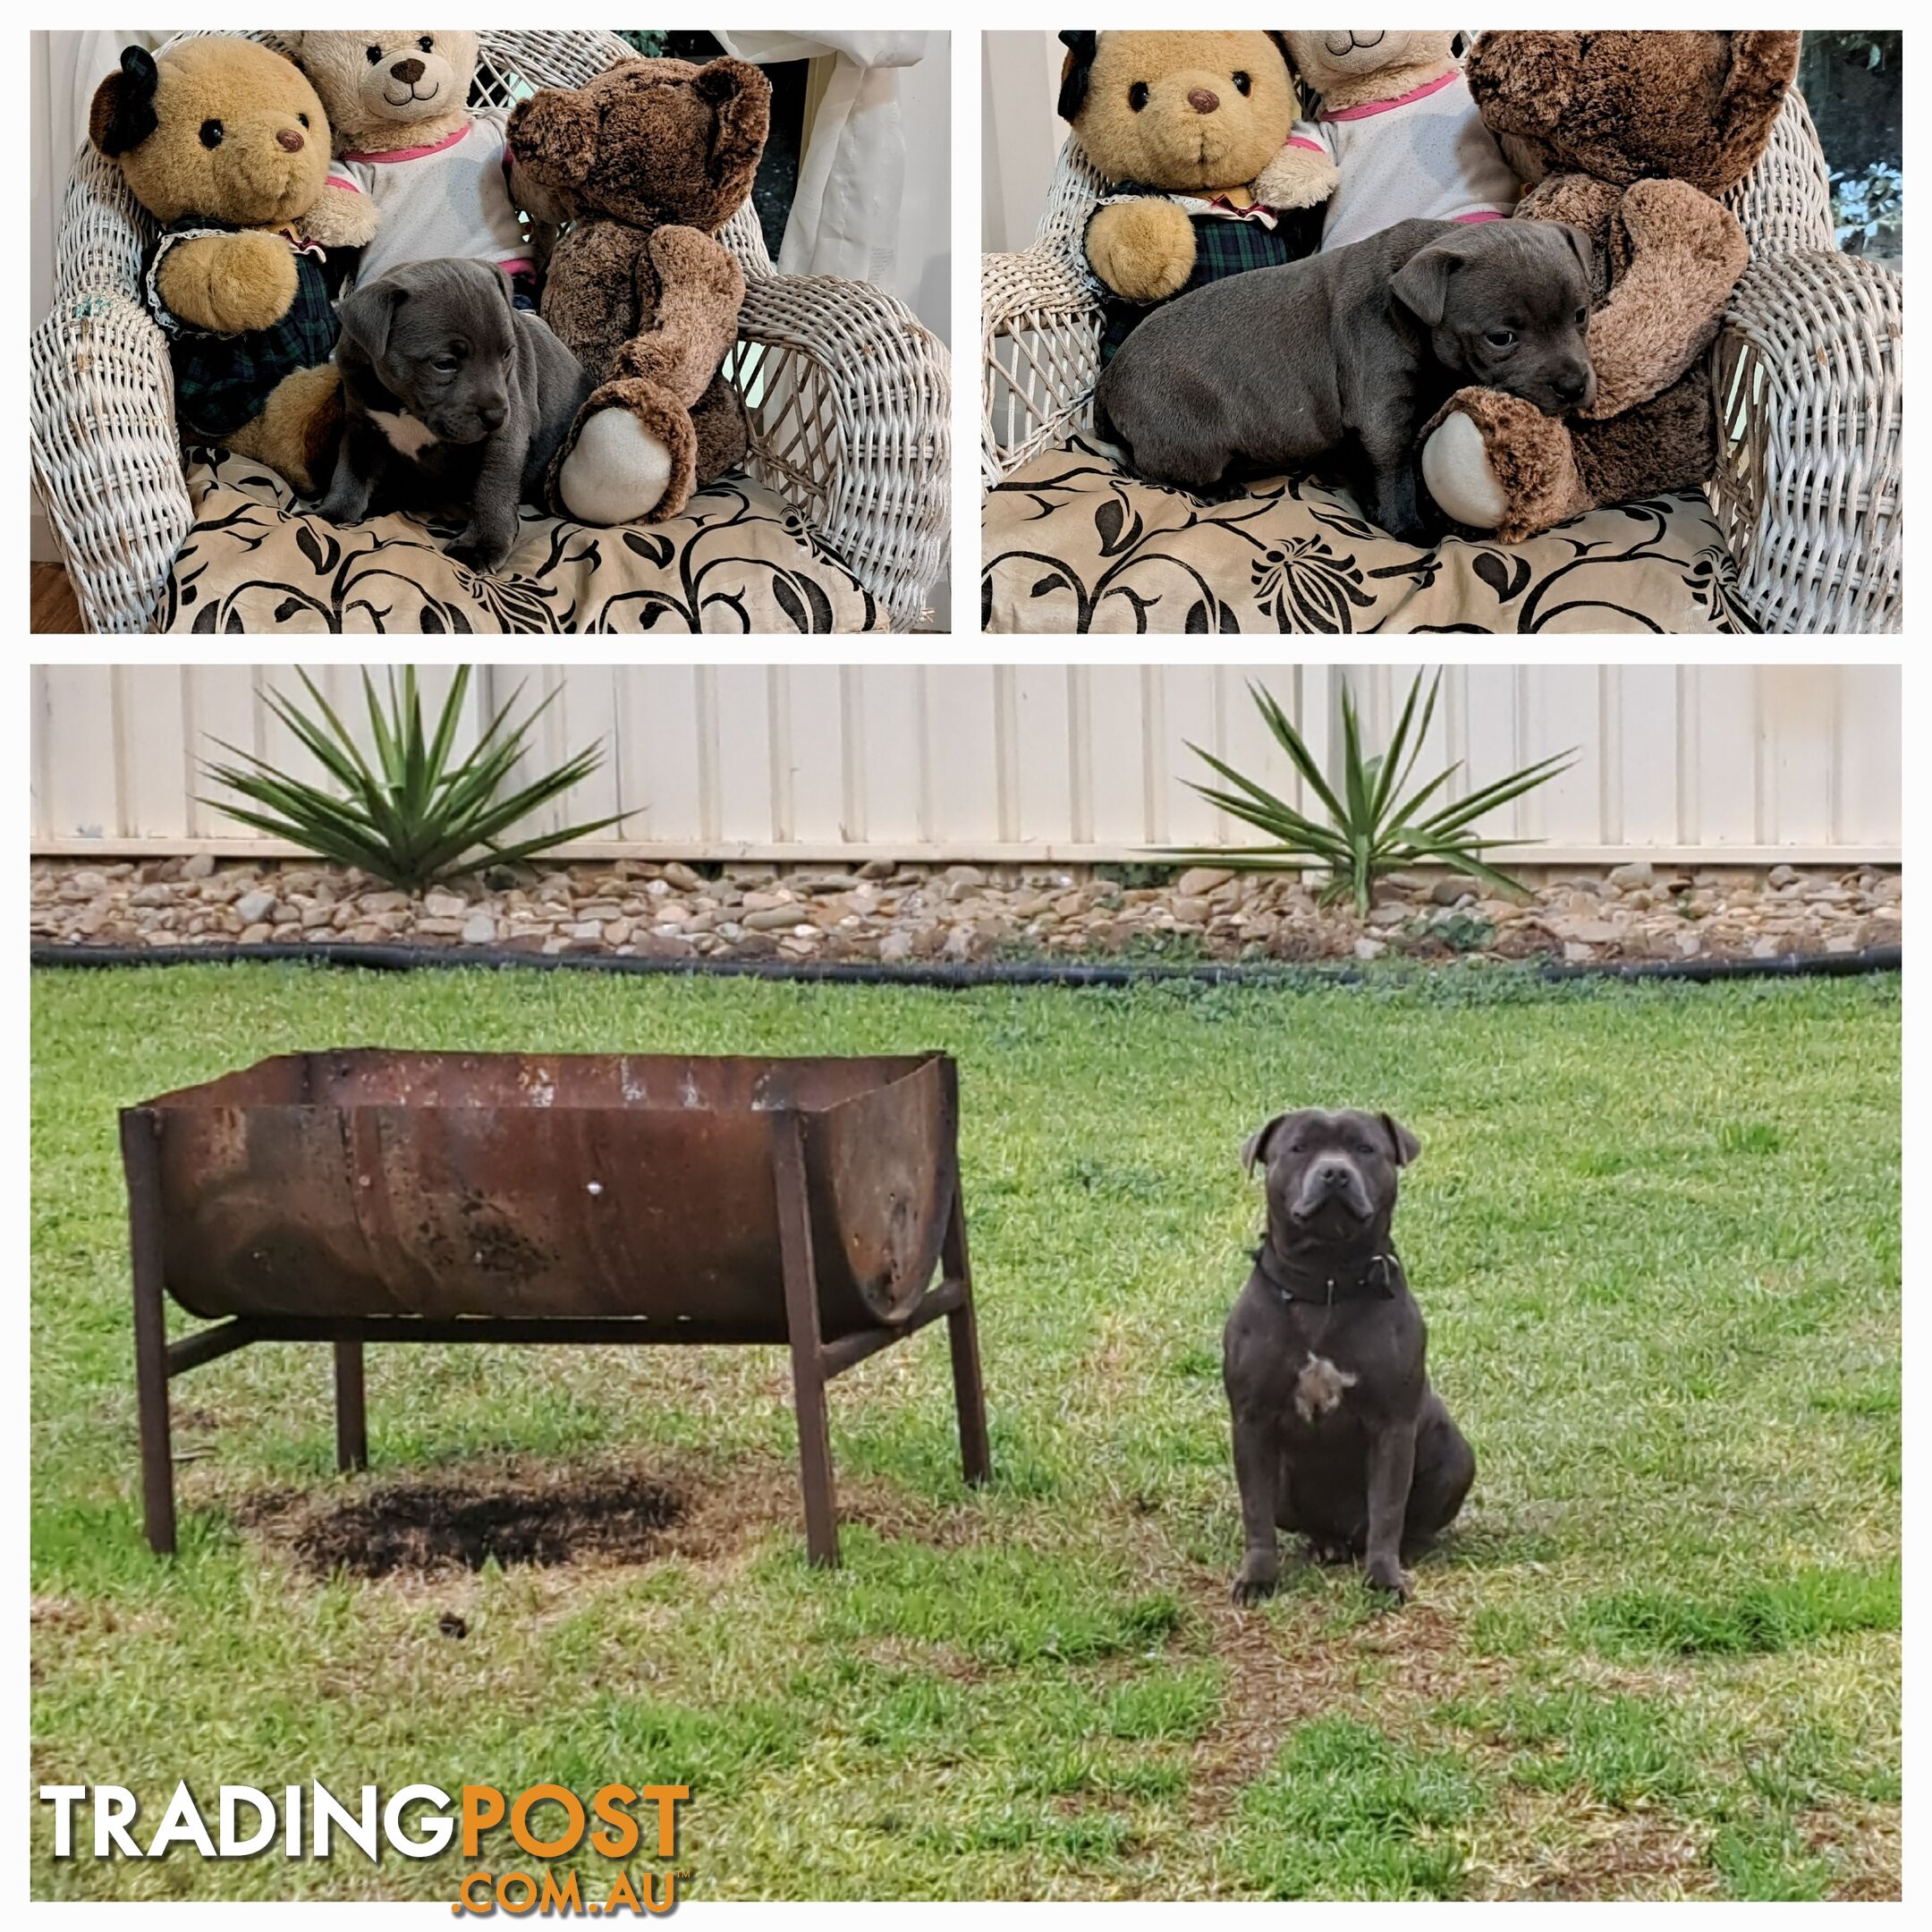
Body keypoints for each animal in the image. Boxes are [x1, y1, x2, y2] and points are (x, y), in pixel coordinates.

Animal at [320, 252, 590, 564]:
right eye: (444, 363)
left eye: (507, 353)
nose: (496, 416)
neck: (405, 406)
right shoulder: (361, 426)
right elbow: (350, 469)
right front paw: (333, 512)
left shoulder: (506, 436)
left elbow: (492, 487)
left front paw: (482, 546)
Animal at [1097, 221, 1591, 548]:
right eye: (1501, 338)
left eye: (1581, 315)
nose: (1574, 385)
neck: (1407, 311)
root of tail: (1107, 382)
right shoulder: (1383, 413)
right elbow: (1396, 470)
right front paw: (1408, 527)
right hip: (1192, 442)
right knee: (1152, 469)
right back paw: (1218, 488)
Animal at [1221, 1113, 1476, 1607]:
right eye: (1298, 1148)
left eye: (1364, 1148)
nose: (1335, 1172)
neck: (1328, 1279)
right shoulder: (1252, 1422)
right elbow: (1256, 1511)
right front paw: (1257, 1578)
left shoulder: (1392, 1425)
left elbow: (1389, 1509)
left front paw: (1384, 1578)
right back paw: (1325, 1545)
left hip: (1456, 1456)